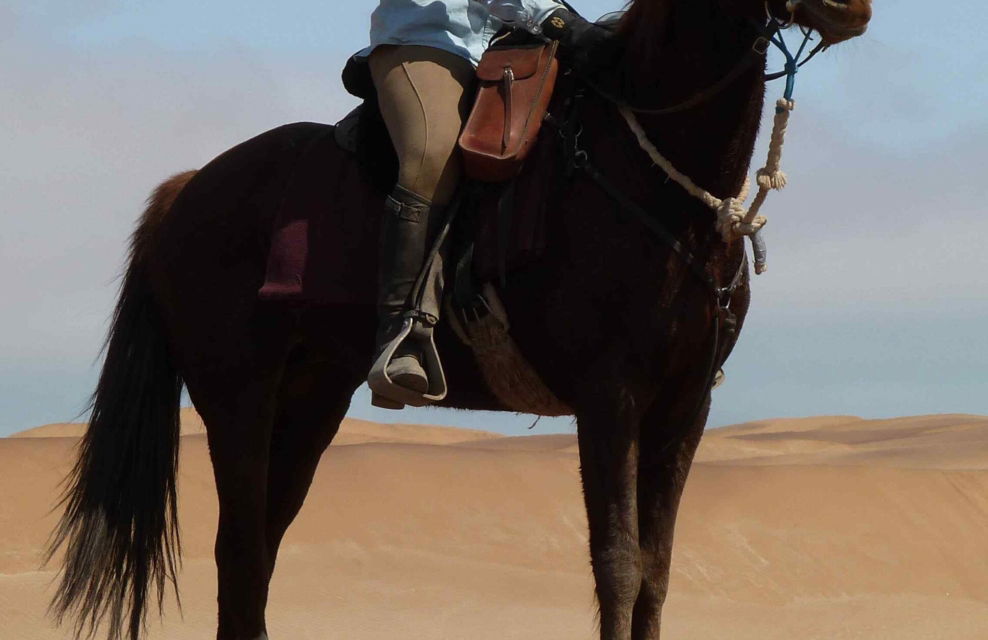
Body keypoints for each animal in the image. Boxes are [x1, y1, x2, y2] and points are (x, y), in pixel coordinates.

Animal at [47, 0, 872, 639]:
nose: (854, 9)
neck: (653, 180)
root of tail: (185, 190)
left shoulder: (684, 403)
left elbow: (656, 571)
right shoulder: (611, 396)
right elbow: (617, 565)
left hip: (311, 401)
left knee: (260, 556)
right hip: (235, 398)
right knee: (242, 552)